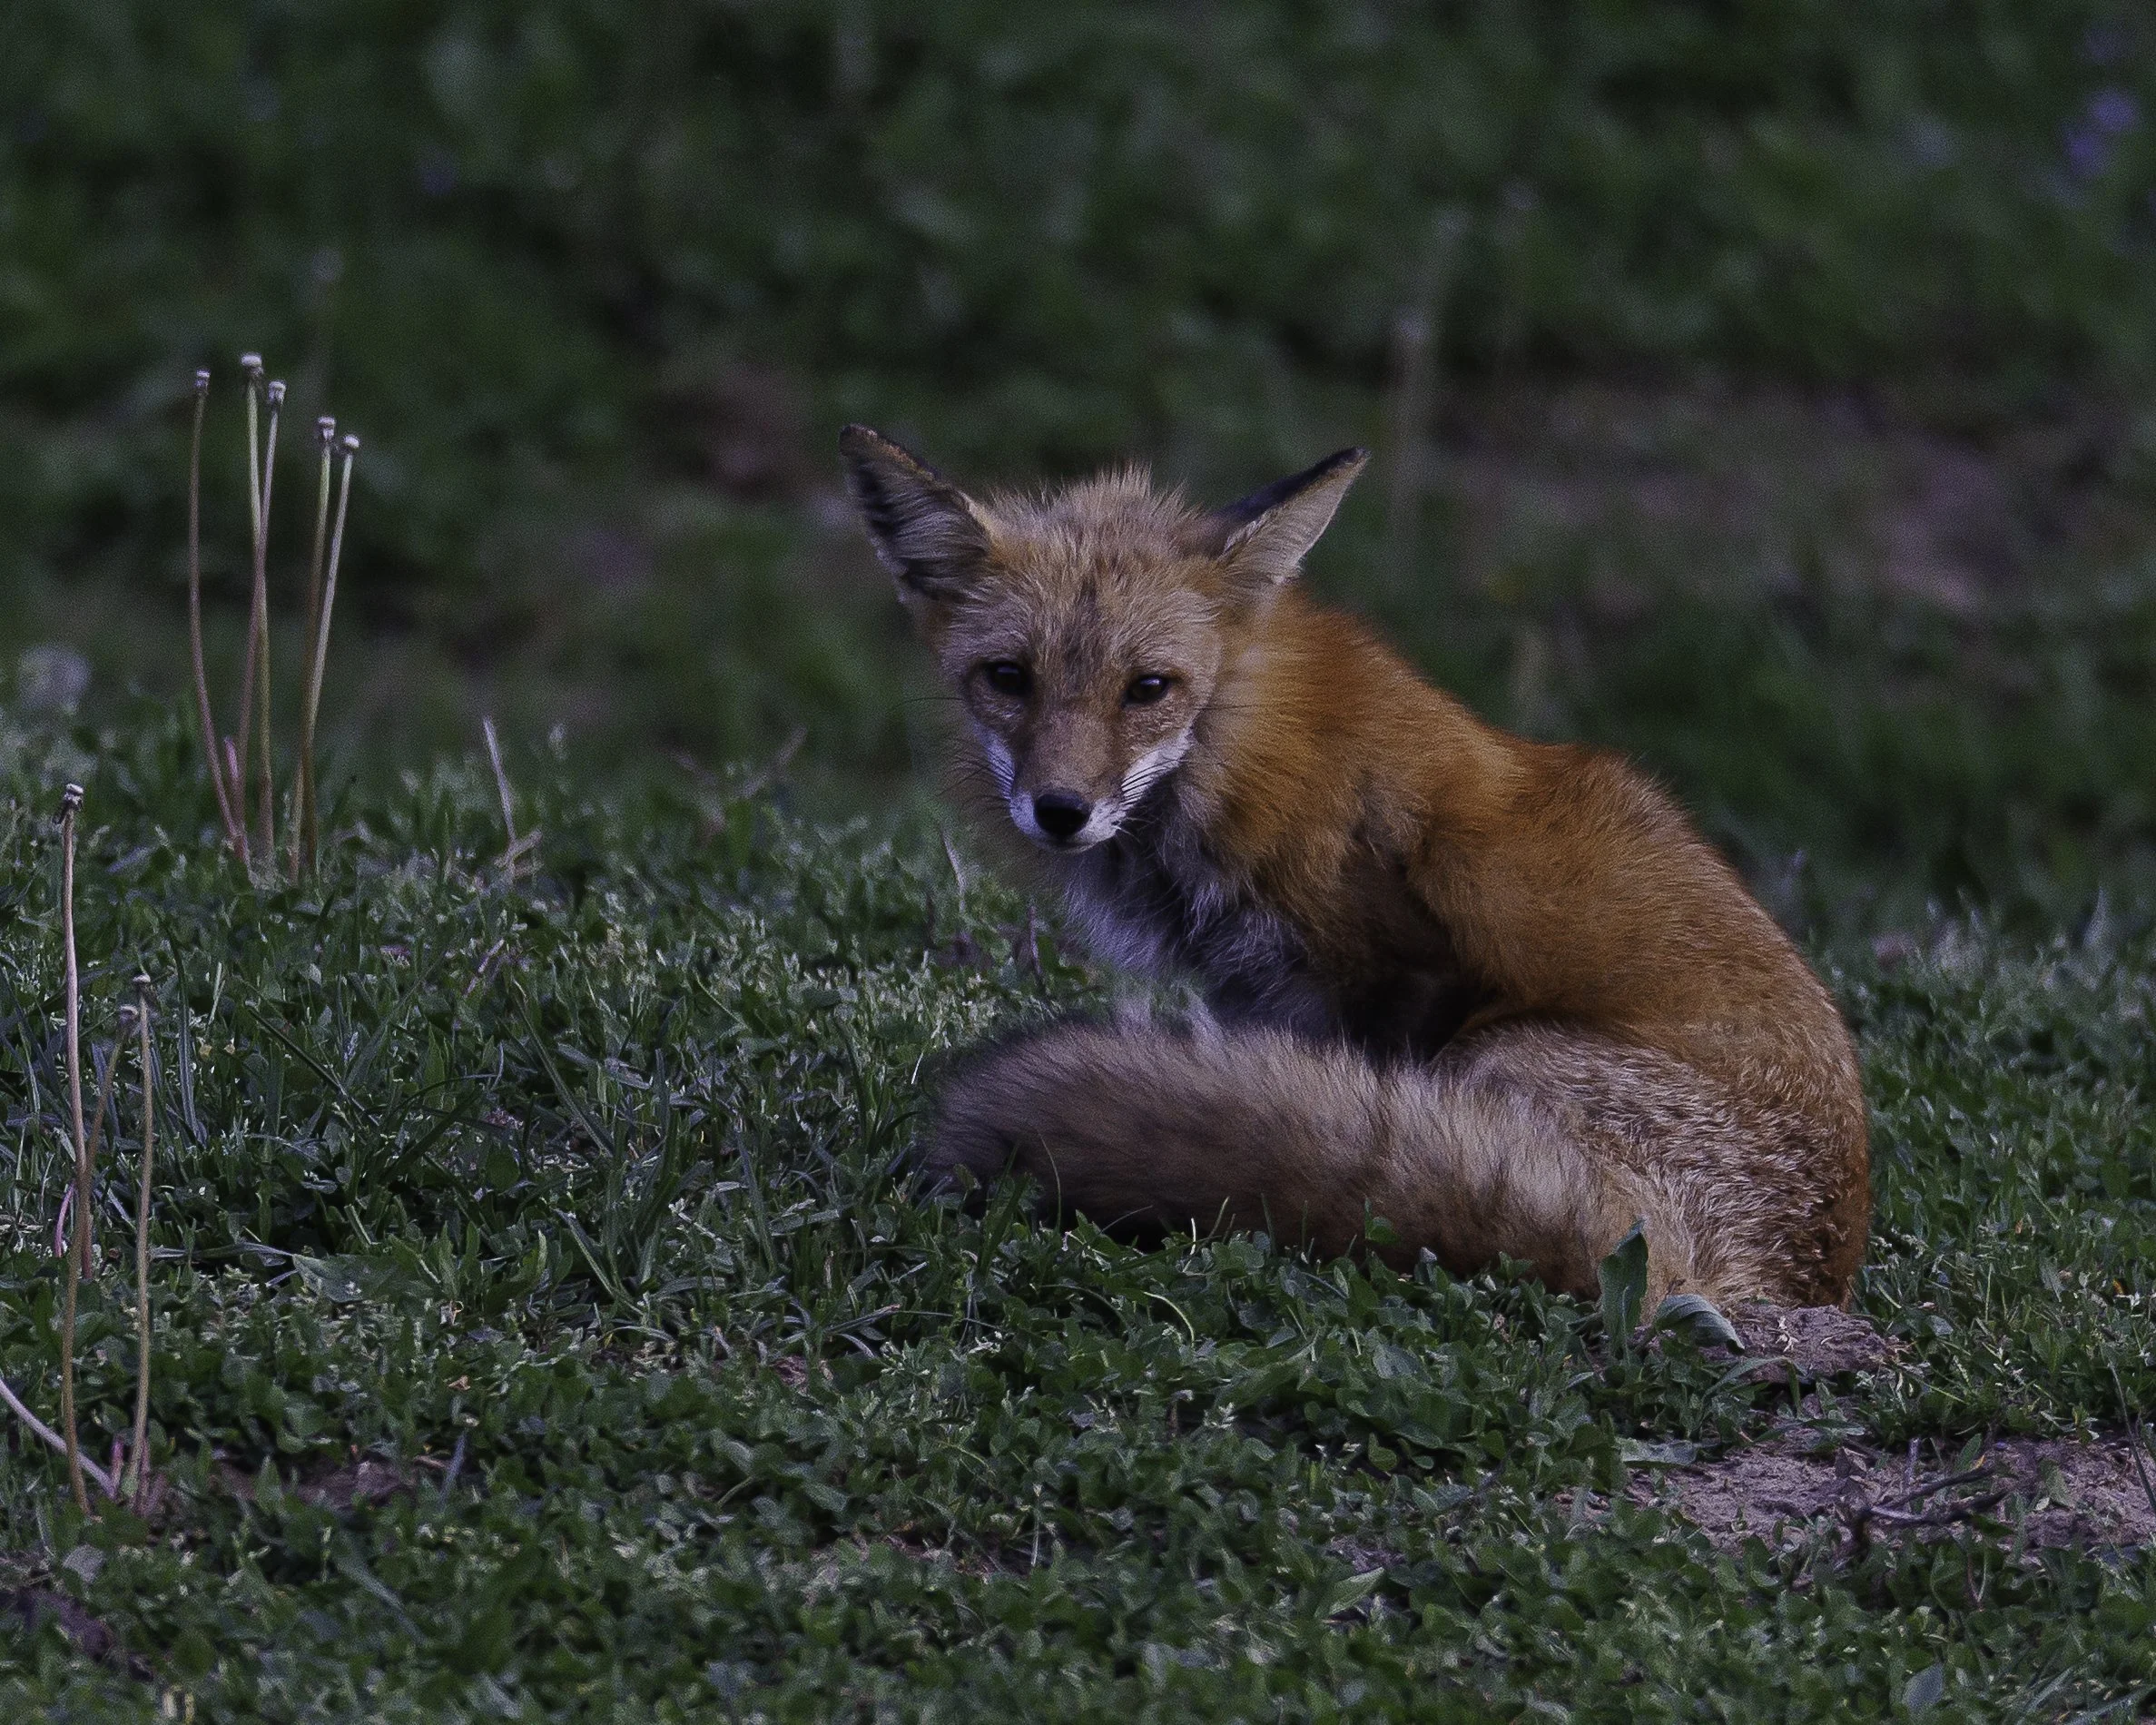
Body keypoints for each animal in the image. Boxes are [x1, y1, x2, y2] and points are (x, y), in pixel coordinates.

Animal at [839, 424, 1870, 1310]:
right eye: (1007, 679)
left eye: (1147, 689)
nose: (1060, 811)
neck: (1229, 751)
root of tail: (1749, 1274)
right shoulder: (1255, 999)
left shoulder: (1395, 976)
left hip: (1496, 1052)